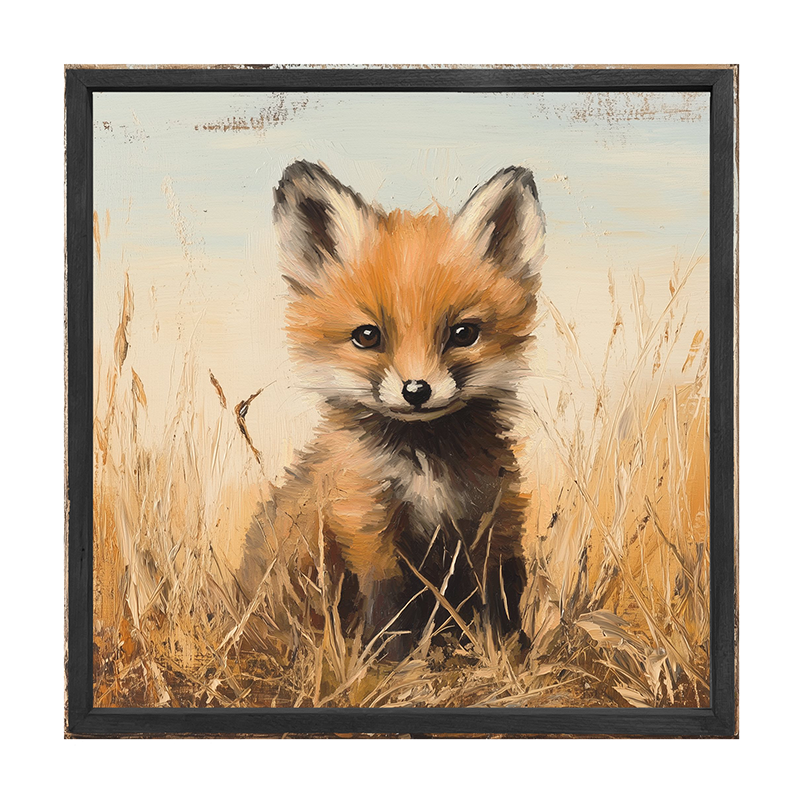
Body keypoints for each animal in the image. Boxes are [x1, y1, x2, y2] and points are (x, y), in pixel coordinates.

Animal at [238, 160, 545, 659]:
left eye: (463, 333)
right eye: (367, 336)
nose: (416, 390)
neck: (426, 466)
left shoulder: (491, 518)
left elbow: (499, 600)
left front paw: (507, 656)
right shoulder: (365, 524)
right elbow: (390, 607)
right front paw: (396, 665)